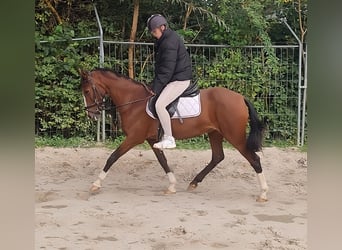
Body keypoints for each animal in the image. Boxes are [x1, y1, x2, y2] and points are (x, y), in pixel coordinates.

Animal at [81, 68, 270, 201]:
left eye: (87, 91)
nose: (91, 114)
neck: (134, 101)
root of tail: (240, 97)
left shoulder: (134, 138)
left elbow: (112, 157)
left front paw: (96, 184)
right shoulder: (152, 139)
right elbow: (163, 161)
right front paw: (171, 186)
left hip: (234, 136)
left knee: (254, 159)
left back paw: (263, 193)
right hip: (215, 133)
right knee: (217, 156)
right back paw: (194, 183)